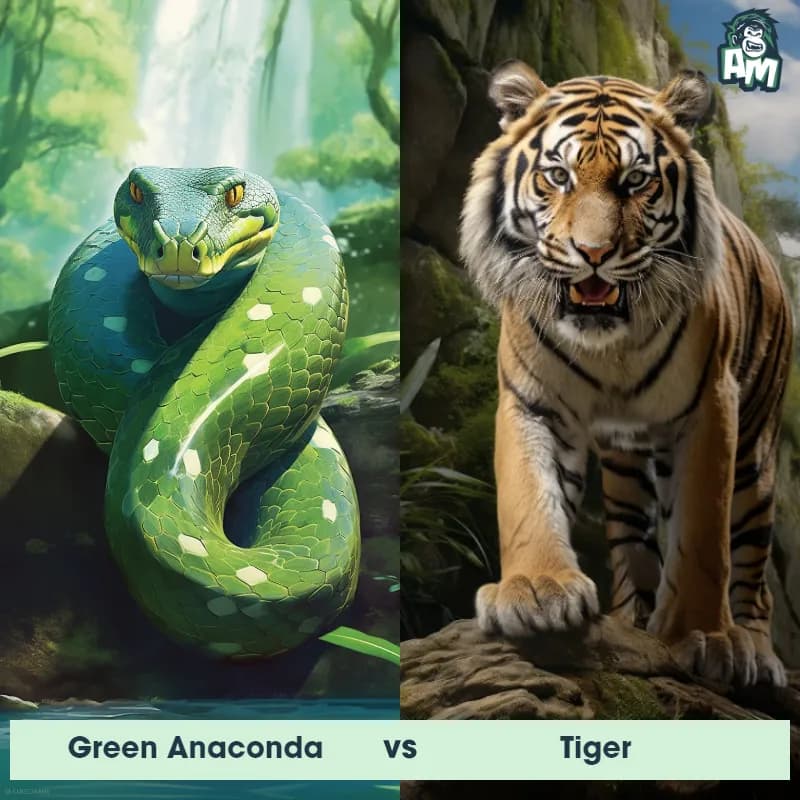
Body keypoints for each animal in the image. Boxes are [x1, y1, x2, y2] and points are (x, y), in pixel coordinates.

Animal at [459, 61, 792, 687]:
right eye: (558, 176)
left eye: (636, 181)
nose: (592, 253)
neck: (607, 345)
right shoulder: (533, 401)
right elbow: (527, 496)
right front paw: (535, 591)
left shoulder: (711, 407)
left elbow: (703, 533)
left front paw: (703, 634)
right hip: (625, 468)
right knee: (634, 544)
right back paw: (632, 620)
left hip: (756, 457)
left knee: (753, 567)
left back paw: (757, 651)